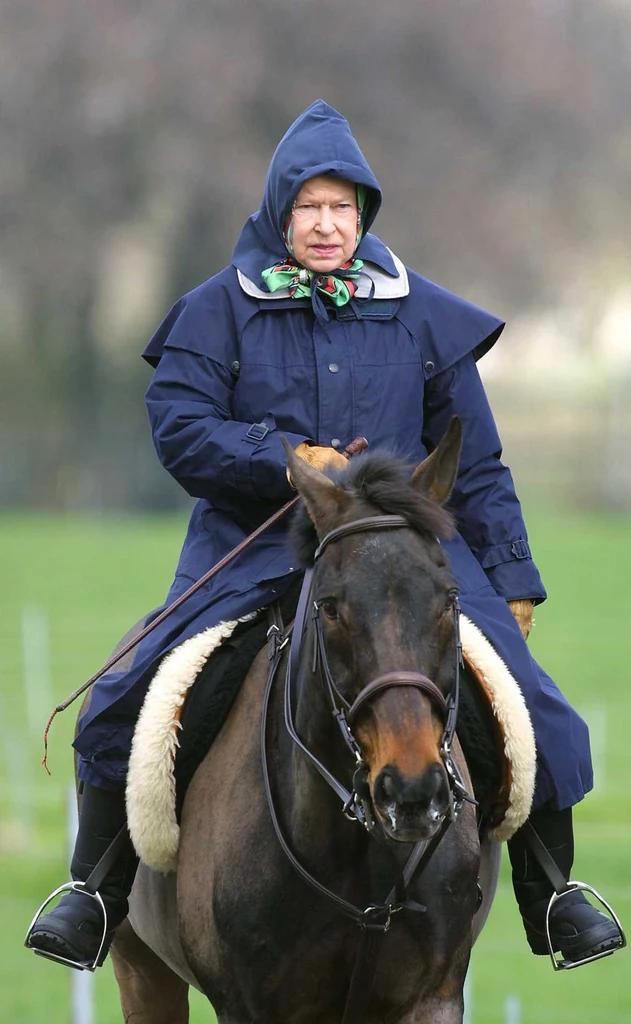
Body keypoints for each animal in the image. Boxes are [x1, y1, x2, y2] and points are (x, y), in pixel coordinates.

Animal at [109, 417, 501, 1024]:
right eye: (332, 607)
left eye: (448, 599)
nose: (411, 790)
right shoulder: (246, 1007)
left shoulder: (432, 998)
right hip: (142, 970)